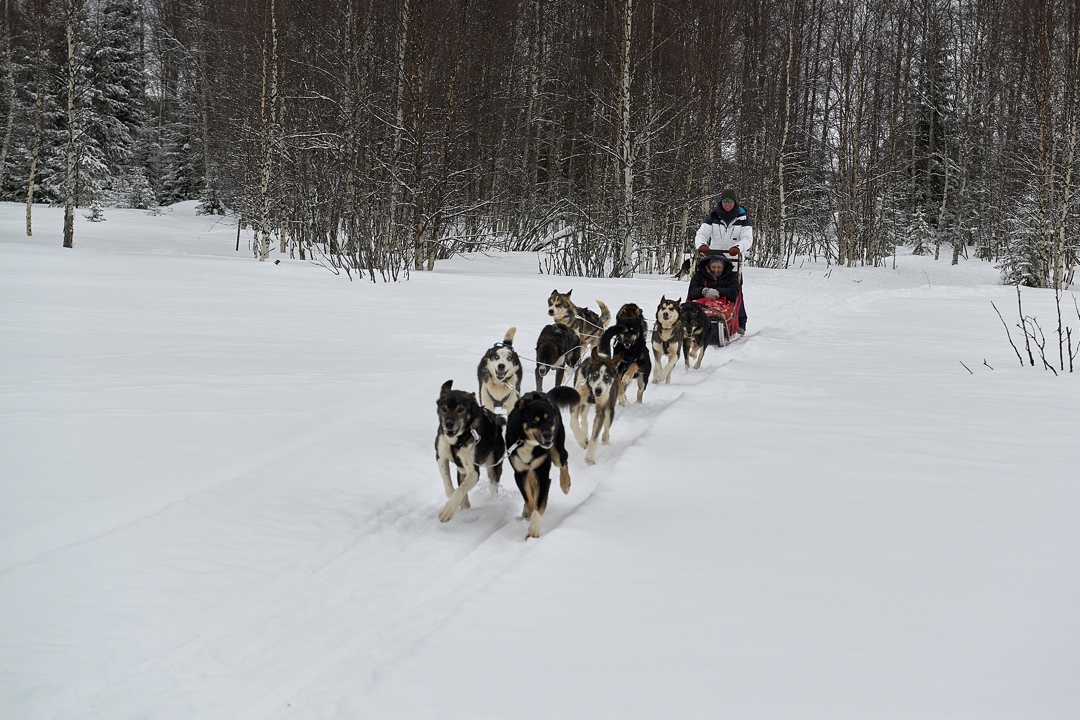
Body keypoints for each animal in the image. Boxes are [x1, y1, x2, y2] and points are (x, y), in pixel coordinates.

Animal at [434, 382, 505, 524]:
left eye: (461, 410)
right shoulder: (441, 457)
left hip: (494, 465)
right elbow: (450, 487)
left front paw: (448, 510)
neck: (457, 440)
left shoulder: (473, 472)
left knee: (493, 484)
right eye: (443, 409)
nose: (448, 424)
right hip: (461, 470)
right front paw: (457, 502)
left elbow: (459, 490)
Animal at [505, 388, 583, 539]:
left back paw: (565, 484)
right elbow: (529, 500)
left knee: (563, 461)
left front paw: (533, 531)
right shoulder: (520, 473)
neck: (528, 443)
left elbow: (538, 503)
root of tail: (545, 395)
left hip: (557, 451)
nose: (548, 435)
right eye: (534, 421)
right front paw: (527, 510)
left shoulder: (543, 474)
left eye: (549, 419)